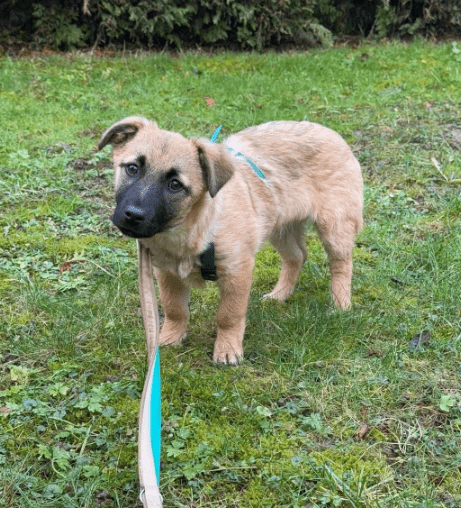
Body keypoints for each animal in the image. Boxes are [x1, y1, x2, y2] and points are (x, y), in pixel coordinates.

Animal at [99, 118, 362, 366]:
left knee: (341, 264)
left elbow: (228, 315)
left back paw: (340, 304)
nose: (133, 216)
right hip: (279, 225)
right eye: (132, 168)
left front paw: (227, 350)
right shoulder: (167, 273)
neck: (194, 228)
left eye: (175, 185)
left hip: (334, 224)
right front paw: (169, 338)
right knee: (296, 256)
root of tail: (331, 133)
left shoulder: (237, 272)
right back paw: (280, 295)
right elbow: (175, 309)